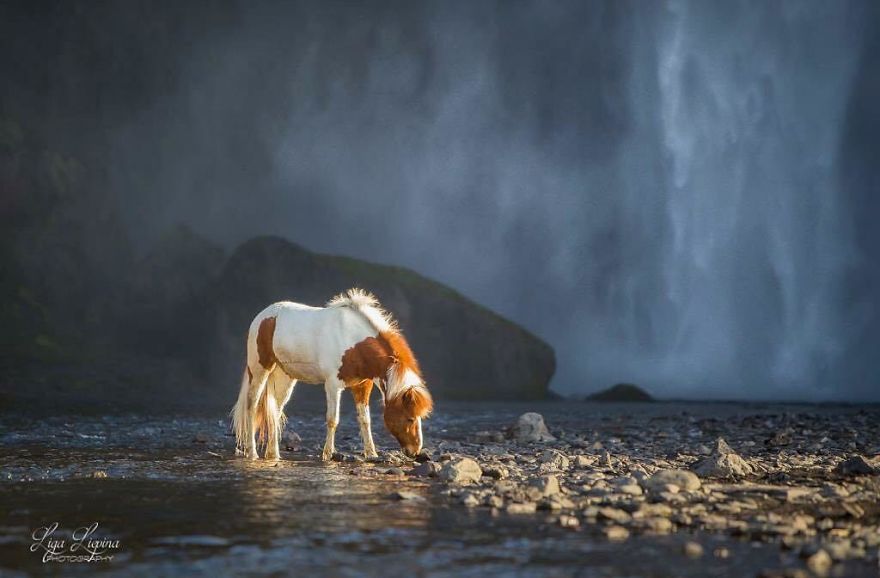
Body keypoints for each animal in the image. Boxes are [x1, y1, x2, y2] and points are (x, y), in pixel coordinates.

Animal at [230, 288, 433, 461]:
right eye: (410, 418)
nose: (415, 451)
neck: (353, 342)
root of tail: (263, 316)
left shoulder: (362, 386)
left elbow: (365, 420)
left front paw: (371, 454)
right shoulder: (333, 385)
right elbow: (332, 420)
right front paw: (327, 455)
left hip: (284, 377)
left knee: (275, 411)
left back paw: (274, 455)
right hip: (260, 370)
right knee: (252, 405)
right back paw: (252, 452)